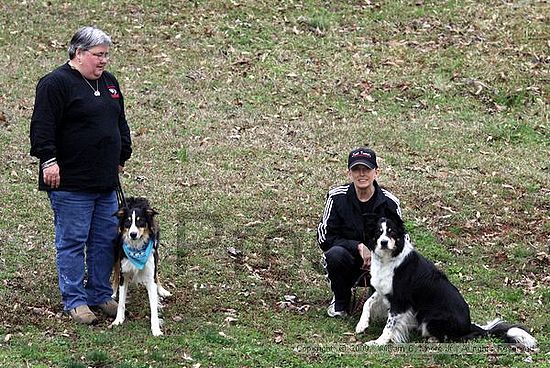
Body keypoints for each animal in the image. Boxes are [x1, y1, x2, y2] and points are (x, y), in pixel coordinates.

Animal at [358, 214, 540, 350]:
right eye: (379, 232)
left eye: (391, 232)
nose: (383, 242)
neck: (389, 259)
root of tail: (468, 326)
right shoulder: (383, 290)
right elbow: (367, 303)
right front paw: (362, 325)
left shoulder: (400, 300)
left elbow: (389, 325)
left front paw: (379, 342)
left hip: (431, 319)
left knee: (454, 338)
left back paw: (433, 339)